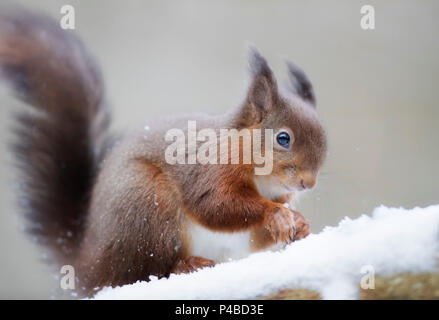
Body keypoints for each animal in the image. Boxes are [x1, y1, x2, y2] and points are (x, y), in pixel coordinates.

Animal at [0, 12, 326, 298]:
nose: (308, 184)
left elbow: (257, 236)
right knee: (145, 271)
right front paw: (276, 214)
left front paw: (300, 222)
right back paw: (185, 265)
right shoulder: (208, 170)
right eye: (283, 138)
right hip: (146, 206)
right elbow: (215, 205)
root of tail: (88, 266)